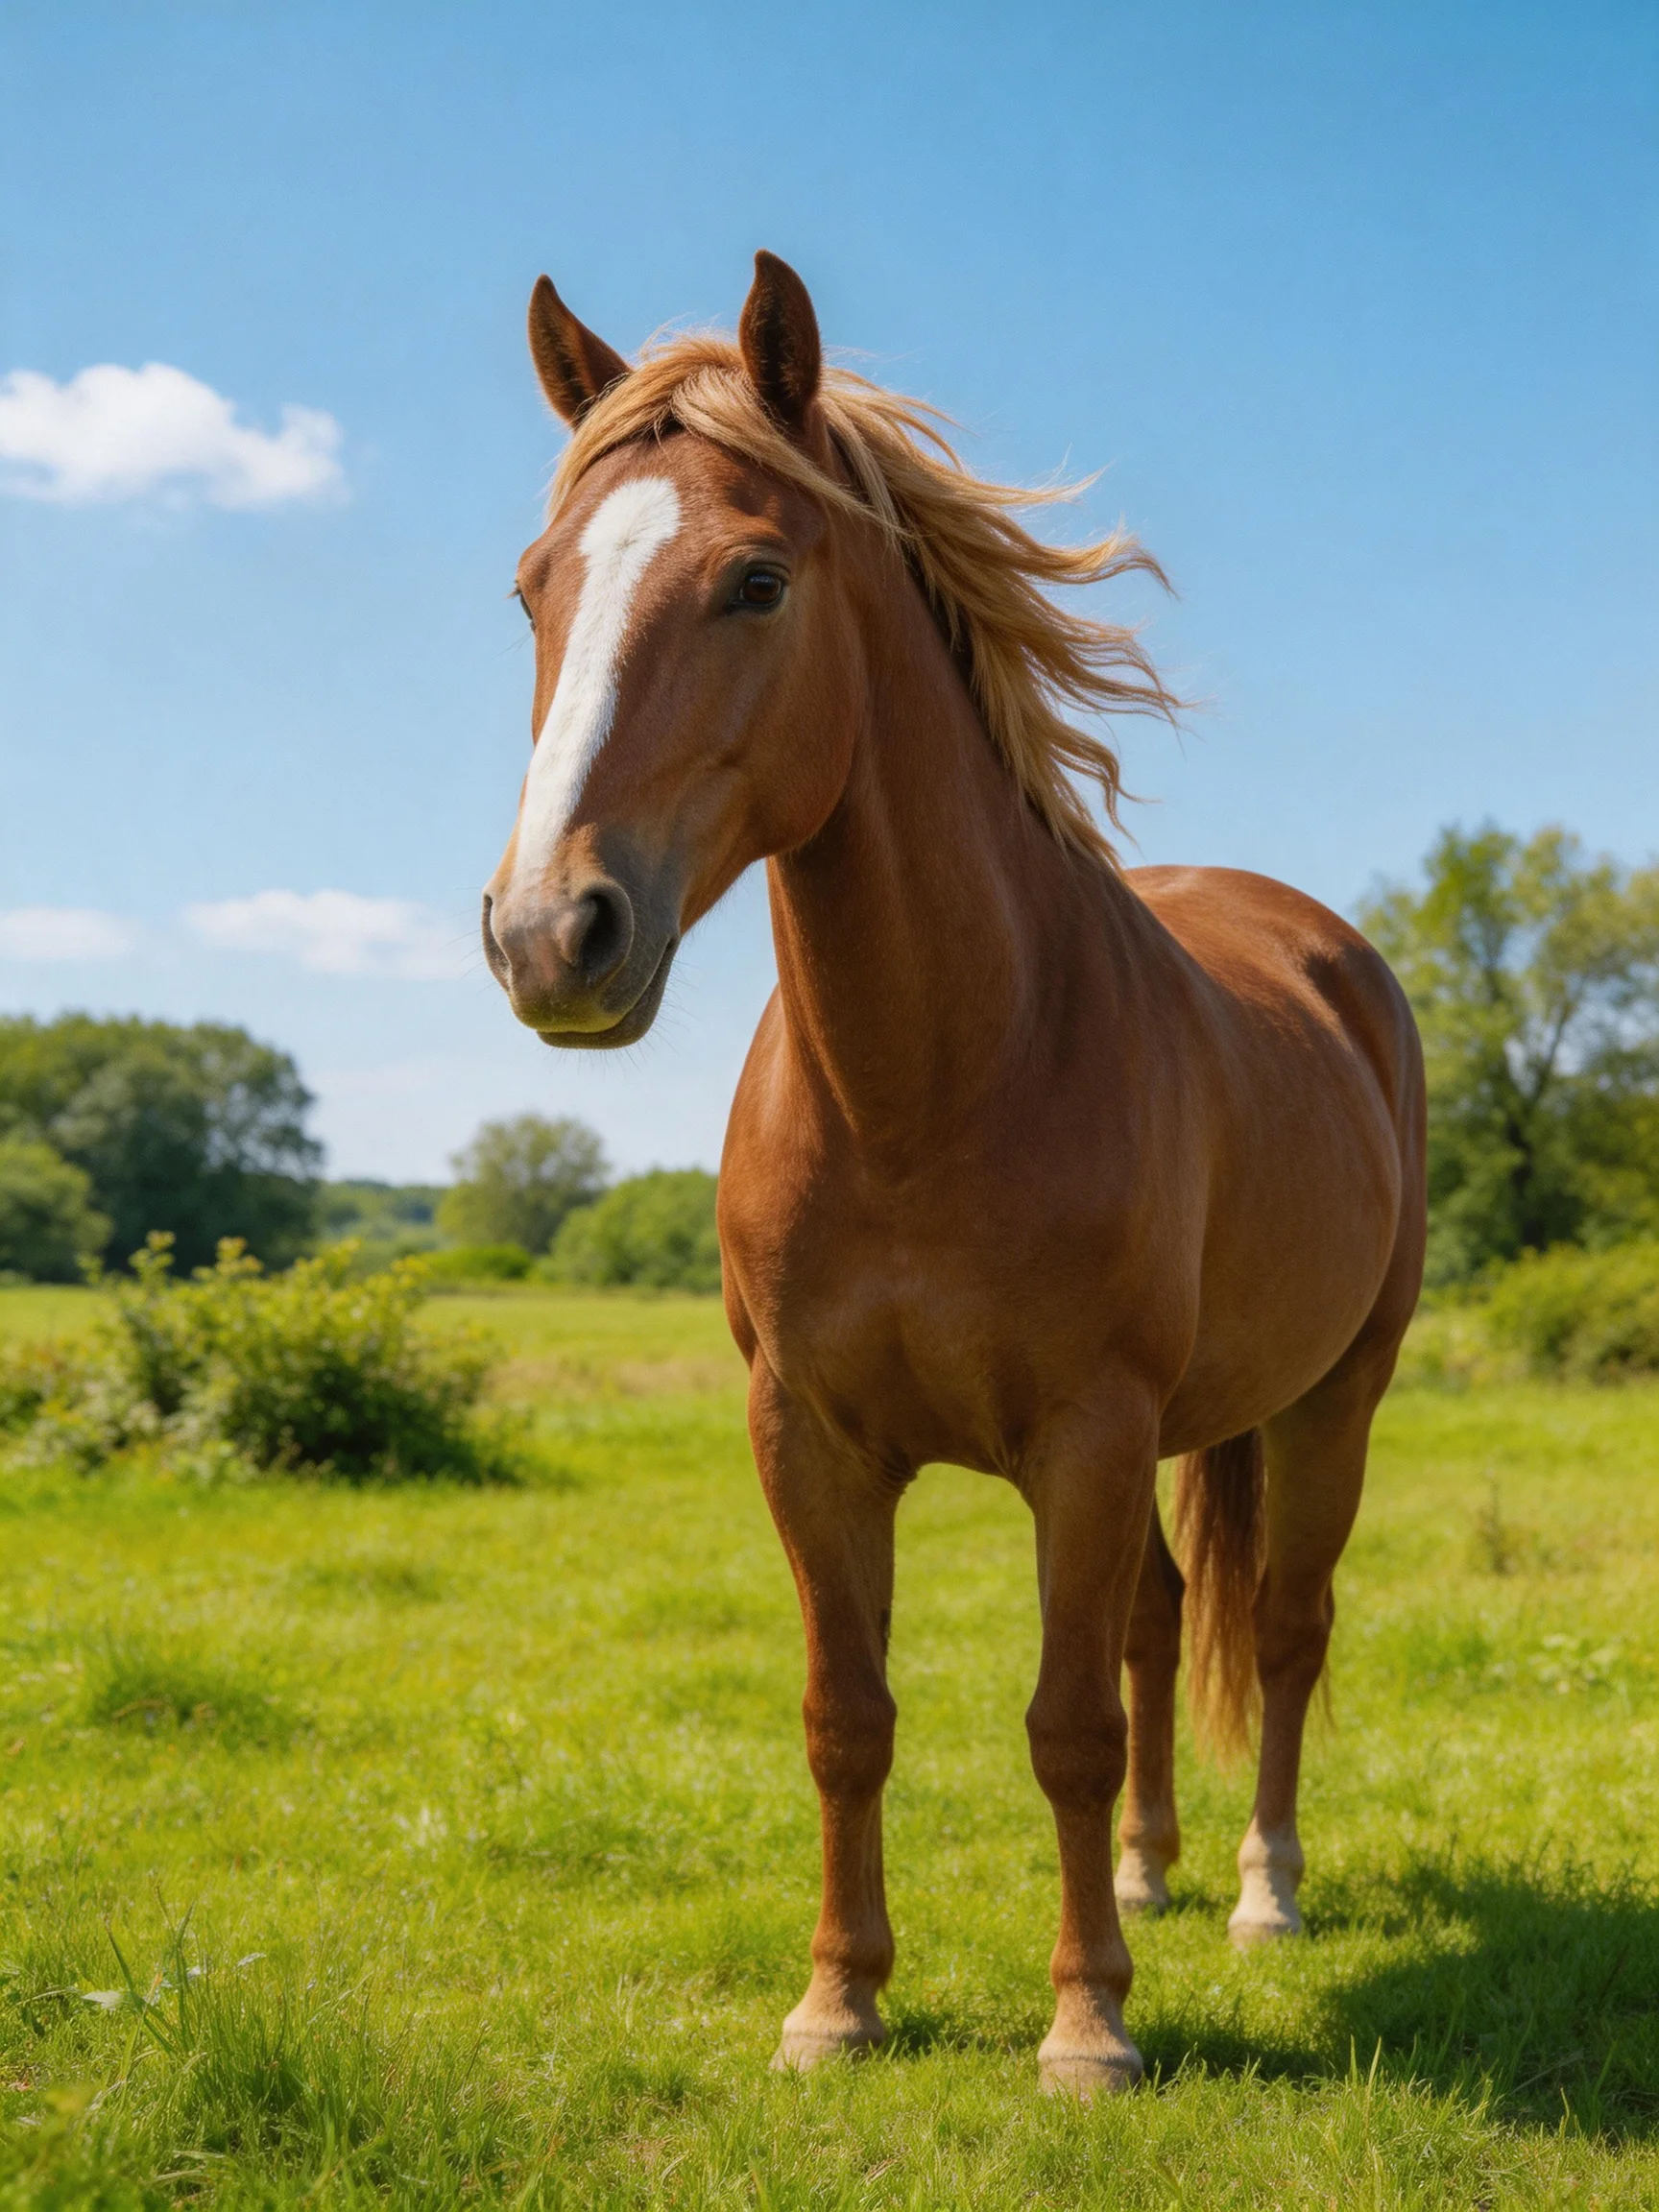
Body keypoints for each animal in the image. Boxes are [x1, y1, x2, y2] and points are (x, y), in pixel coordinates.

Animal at [481, 251, 1427, 2098]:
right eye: (534, 588)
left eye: (755, 579)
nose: (552, 931)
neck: (932, 1091)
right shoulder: (808, 1437)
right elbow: (848, 1718)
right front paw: (837, 2000)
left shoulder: (1085, 1433)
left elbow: (1063, 1721)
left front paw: (1087, 2024)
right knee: (1162, 1618)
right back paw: (1148, 1865)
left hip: (1329, 1396)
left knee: (1282, 1625)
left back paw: (1259, 1888)